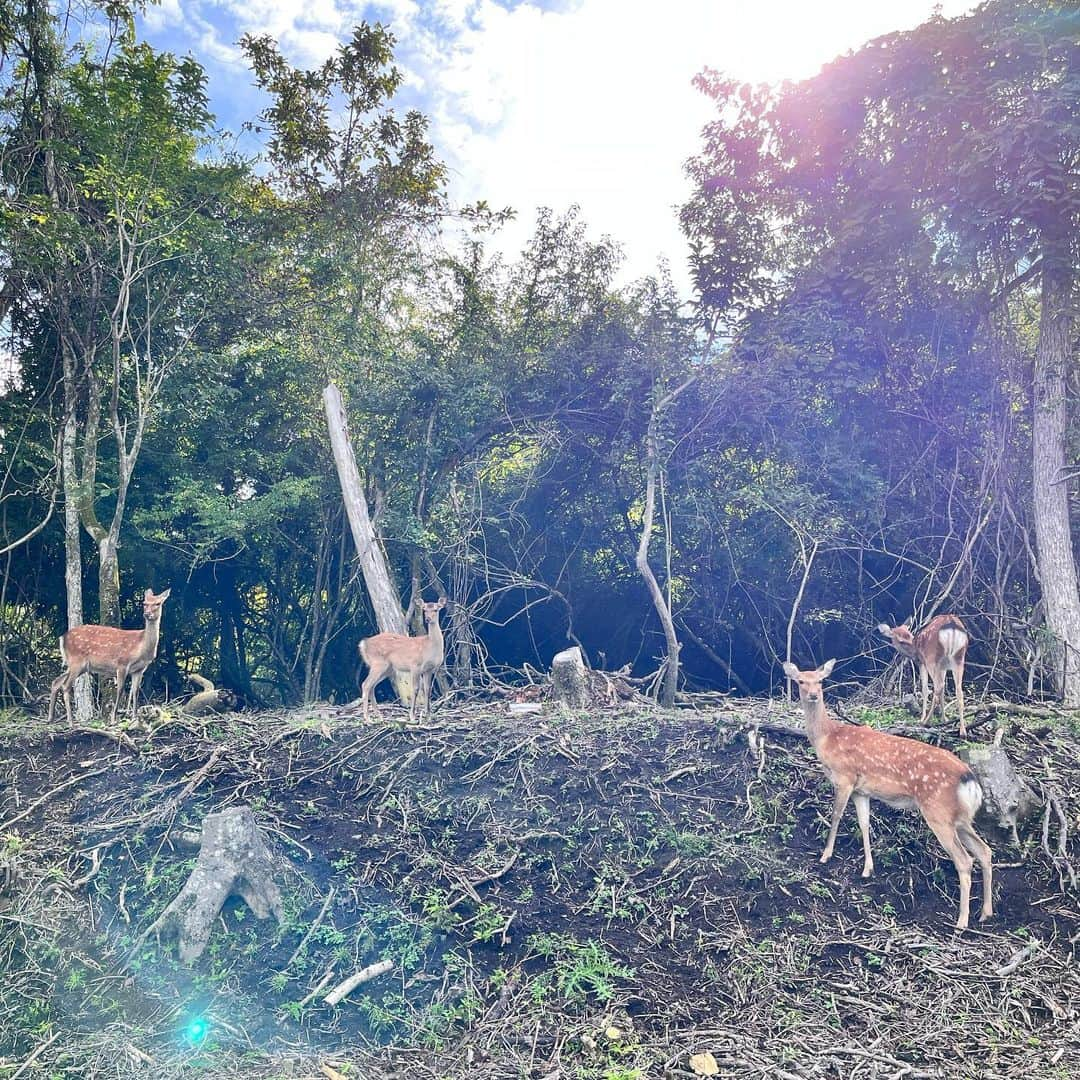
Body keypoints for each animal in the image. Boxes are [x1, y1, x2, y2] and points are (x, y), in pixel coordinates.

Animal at [46, 591, 171, 725]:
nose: (147, 614)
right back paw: (70, 721)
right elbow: (120, 689)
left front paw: (135, 717)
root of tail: (62, 637)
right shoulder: (122, 663)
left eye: (158, 603)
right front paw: (113, 719)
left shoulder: (139, 669)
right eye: (144, 603)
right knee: (66, 686)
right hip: (76, 661)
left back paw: (50, 718)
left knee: (56, 682)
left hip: (79, 666)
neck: (141, 647)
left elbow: (135, 692)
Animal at [781, 652, 989, 933]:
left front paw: (825, 855)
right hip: (960, 818)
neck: (827, 738)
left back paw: (961, 921)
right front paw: (867, 869)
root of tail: (969, 779)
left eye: (821, 681)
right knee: (984, 851)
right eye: (801, 681)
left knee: (965, 860)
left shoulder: (845, 778)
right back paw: (986, 913)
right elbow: (864, 824)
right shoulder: (862, 791)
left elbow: (836, 816)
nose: (813, 695)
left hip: (938, 812)